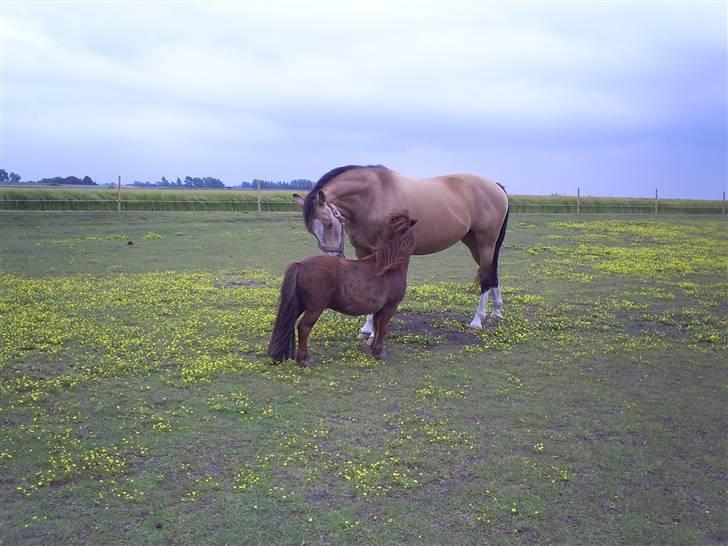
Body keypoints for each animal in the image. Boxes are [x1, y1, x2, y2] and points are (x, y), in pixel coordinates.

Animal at [268, 210, 416, 364]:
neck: (389, 267)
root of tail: (301, 264)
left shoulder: (379, 309)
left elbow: (376, 326)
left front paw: (374, 349)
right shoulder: (390, 307)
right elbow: (383, 328)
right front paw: (379, 352)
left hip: (298, 305)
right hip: (315, 308)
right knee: (303, 327)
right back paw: (305, 359)